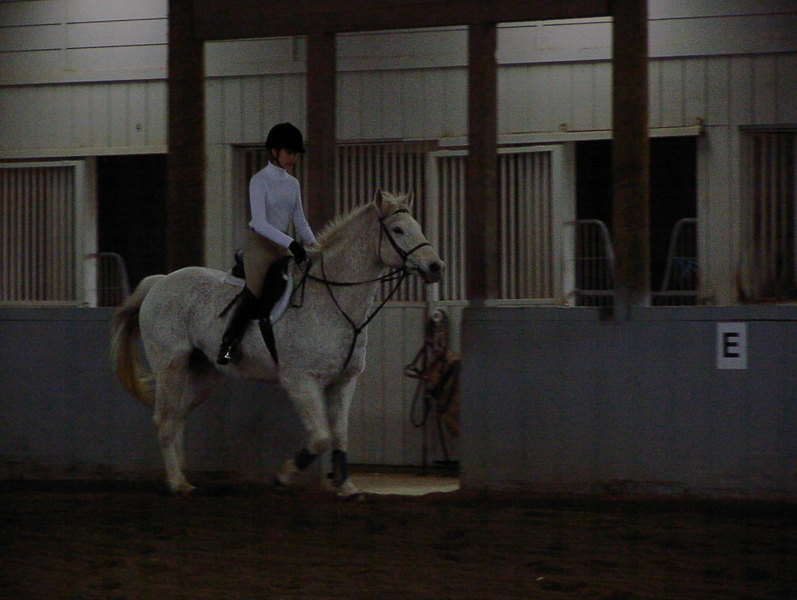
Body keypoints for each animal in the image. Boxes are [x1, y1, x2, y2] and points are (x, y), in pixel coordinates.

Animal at [110, 190, 444, 497]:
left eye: (416, 225)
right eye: (398, 230)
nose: (436, 267)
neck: (334, 302)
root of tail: (161, 281)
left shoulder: (344, 381)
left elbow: (339, 436)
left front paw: (346, 487)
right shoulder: (300, 380)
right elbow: (320, 437)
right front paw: (283, 475)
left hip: (204, 373)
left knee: (176, 418)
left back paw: (181, 476)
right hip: (171, 364)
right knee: (164, 420)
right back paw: (178, 484)